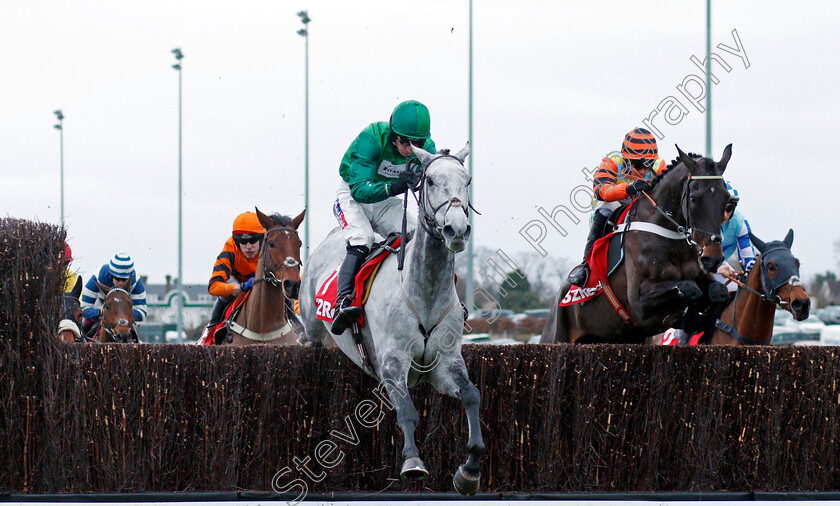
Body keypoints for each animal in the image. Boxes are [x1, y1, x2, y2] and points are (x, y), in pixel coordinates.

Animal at [300, 142, 486, 494]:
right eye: (430, 181)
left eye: (468, 181)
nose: (457, 229)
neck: (423, 294)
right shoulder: (392, 362)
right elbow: (407, 411)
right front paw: (413, 462)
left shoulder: (445, 364)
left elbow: (471, 394)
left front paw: (469, 469)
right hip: (311, 320)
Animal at [540, 144, 732, 346]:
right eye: (694, 198)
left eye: (726, 197)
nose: (713, 257)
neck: (668, 237)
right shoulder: (639, 301)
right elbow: (690, 288)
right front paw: (689, 321)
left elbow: (719, 291)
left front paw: (704, 330)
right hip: (556, 336)